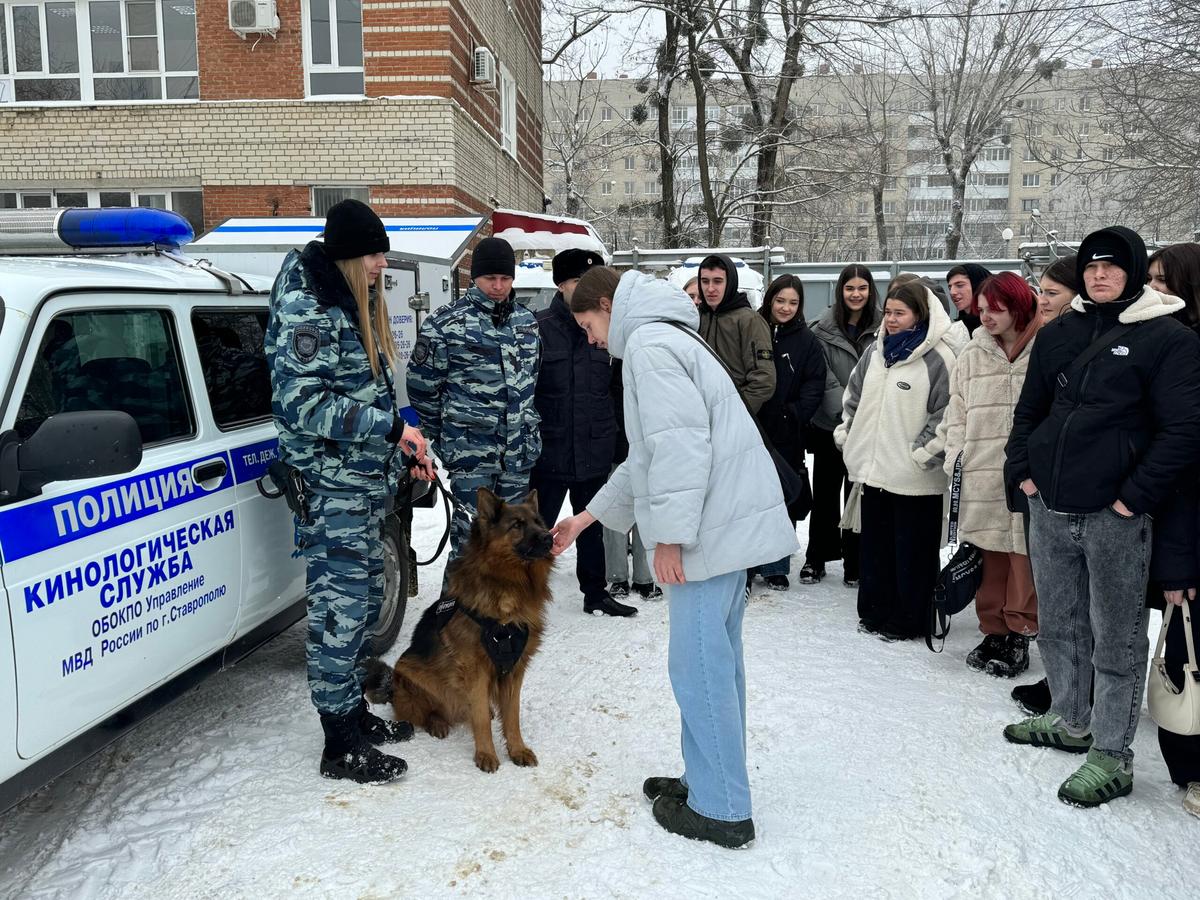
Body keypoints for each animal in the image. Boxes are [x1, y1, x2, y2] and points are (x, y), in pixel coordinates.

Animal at [362, 489, 554, 772]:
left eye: (539, 523)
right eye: (517, 525)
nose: (549, 537)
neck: (508, 587)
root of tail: (391, 686)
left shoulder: (514, 669)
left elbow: (512, 716)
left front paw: (517, 749)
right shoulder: (476, 670)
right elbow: (481, 719)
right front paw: (486, 754)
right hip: (410, 671)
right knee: (424, 712)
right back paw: (437, 722)